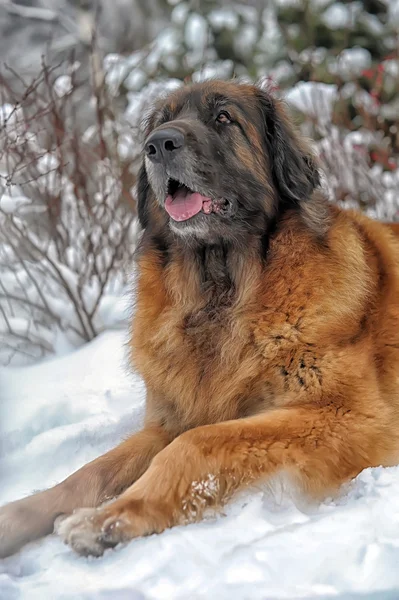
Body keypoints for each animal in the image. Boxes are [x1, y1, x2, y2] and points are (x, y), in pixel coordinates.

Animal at [0, 79, 399, 556]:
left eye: (223, 118)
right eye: (160, 123)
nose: (158, 145)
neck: (219, 289)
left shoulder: (345, 414)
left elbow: (196, 443)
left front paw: (112, 517)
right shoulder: (169, 420)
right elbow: (87, 474)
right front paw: (19, 517)